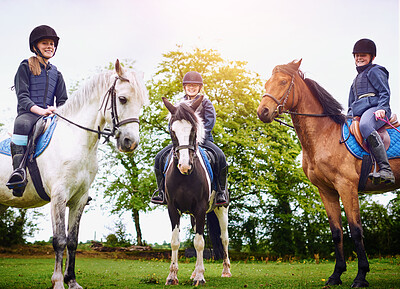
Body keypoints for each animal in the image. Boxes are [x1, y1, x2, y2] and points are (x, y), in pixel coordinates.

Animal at [0, 59, 148, 286]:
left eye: (141, 104)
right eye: (122, 99)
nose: (130, 143)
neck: (77, 141)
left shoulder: (79, 199)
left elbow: (72, 241)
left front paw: (71, 280)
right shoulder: (59, 197)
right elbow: (59, 240)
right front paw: (58, 281)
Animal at [162, 95, 231, 284]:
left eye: (193, 129)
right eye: (172, 131)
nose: (184, 165)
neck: (185, 177)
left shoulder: (200, 209)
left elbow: (199, 242)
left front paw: (200, 276)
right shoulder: (173, 209)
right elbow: (175, 241)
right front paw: (172, 276)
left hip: (221, 209)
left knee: (224, 239)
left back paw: (226, 271)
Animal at [258, 59, 398, 286]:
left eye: (283, 82)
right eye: (267, 82)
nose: (262, 112)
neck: (325, 134)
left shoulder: (346, 187)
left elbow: (356, 231)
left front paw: (361, 276)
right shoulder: (327, 191)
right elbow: (336, 232)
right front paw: (336, 275)